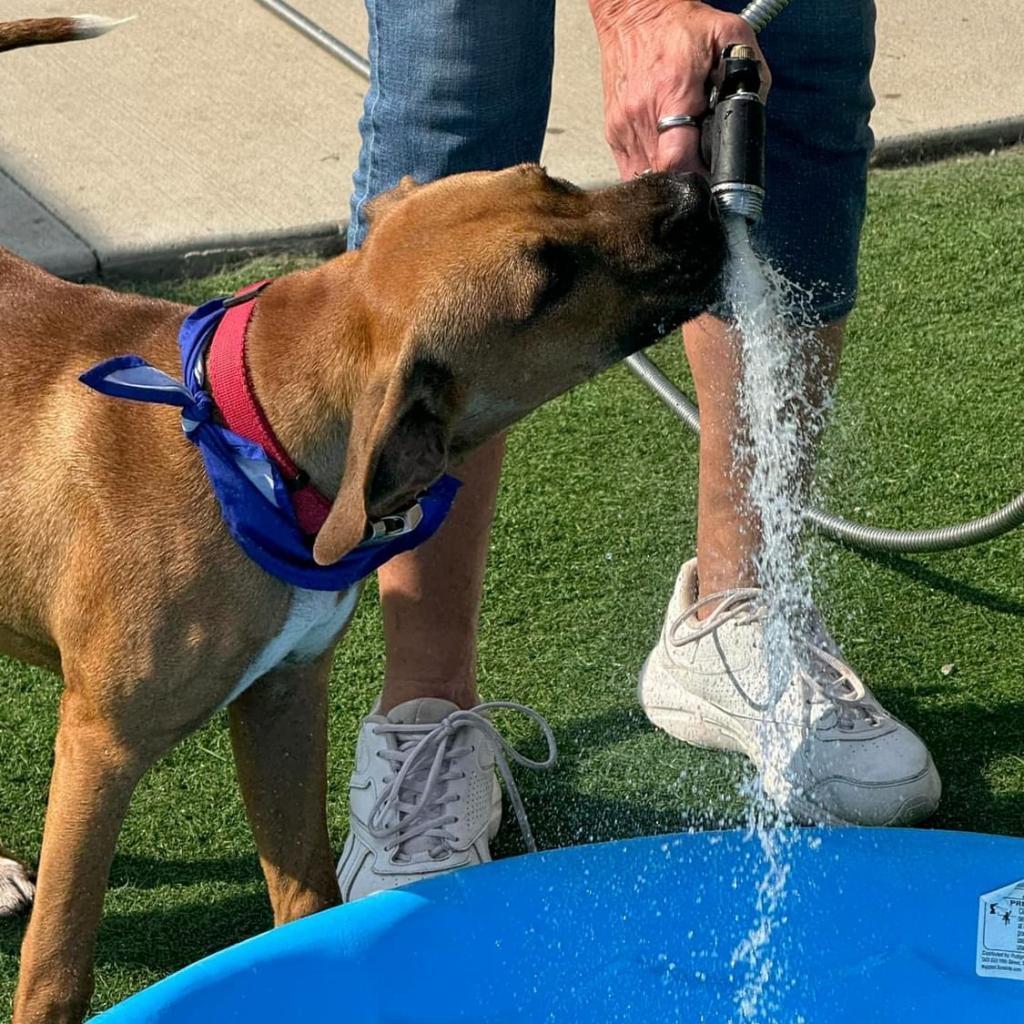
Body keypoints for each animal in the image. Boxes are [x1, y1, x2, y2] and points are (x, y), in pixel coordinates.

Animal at [0, 12, 720, 1019]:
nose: (695, 191)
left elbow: (304, 896)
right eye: (547, 282)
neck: (244, 429)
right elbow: (58, 966)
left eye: (552, 178)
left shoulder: (283, 698)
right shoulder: (101, 749)